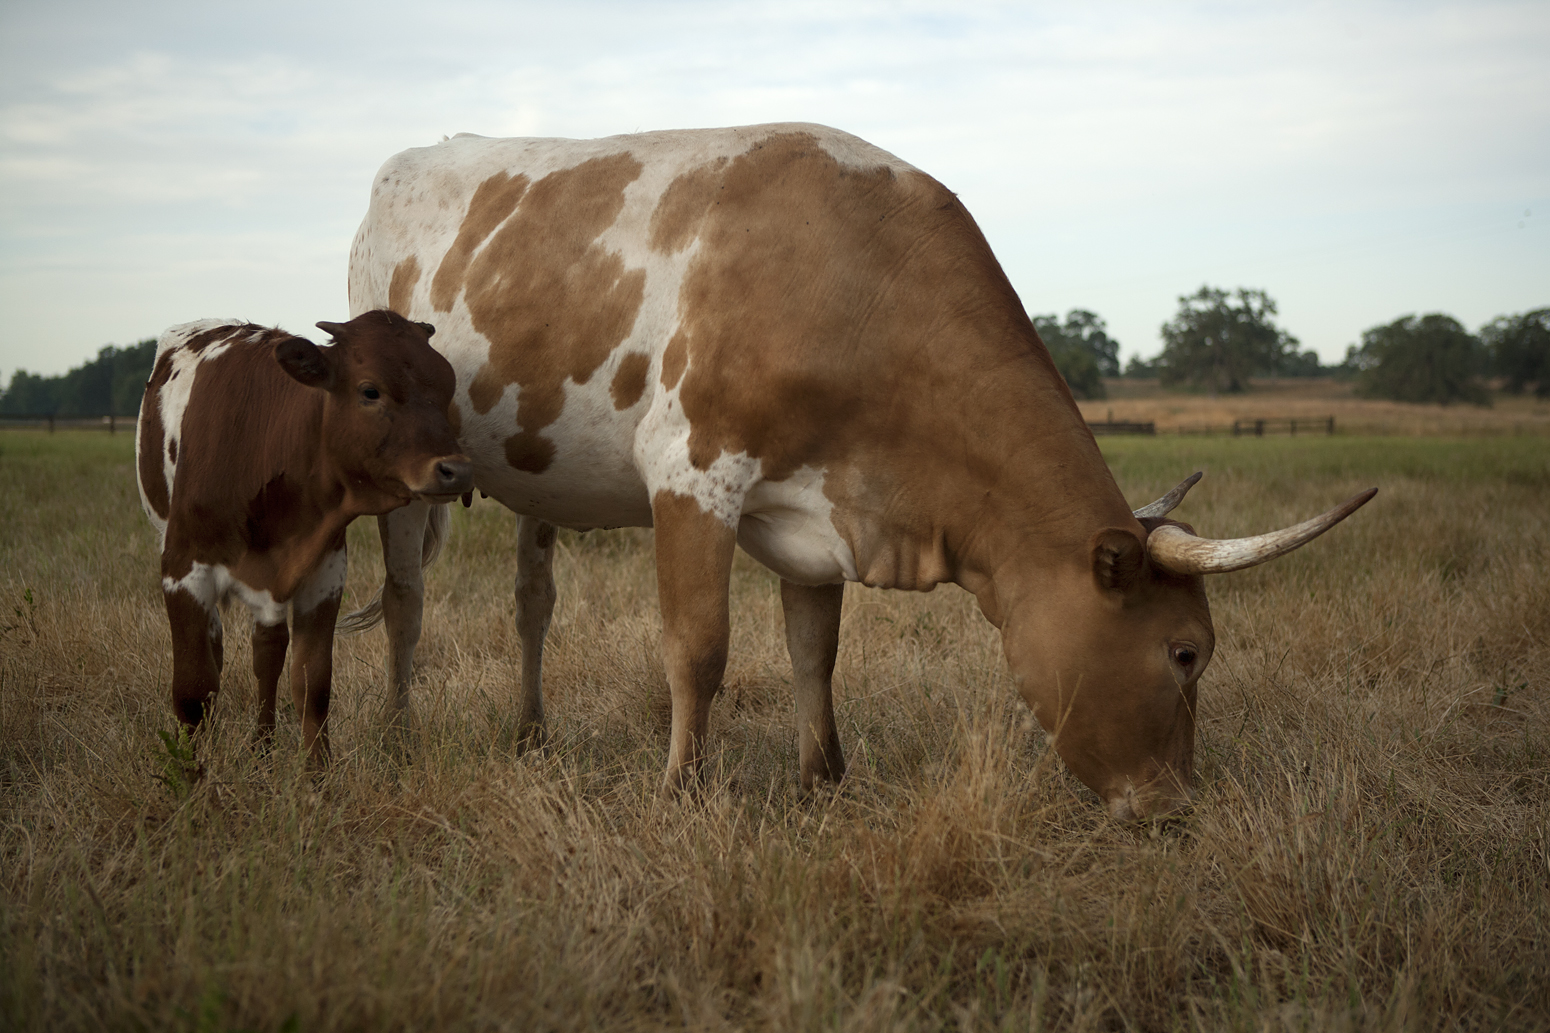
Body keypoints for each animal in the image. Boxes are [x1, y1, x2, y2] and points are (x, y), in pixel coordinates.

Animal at [133, 310, 471, 760]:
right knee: (218, 651)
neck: (263, 444)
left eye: (448, 386)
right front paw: (192, 773)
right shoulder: (182, 572)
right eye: (370, 391)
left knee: (267, 651)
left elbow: (313, 689)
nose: (458, 470)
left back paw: (262, 748)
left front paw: (316, 776)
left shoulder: (324, 574)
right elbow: (193, 692)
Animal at [345, 122, 1376, 812]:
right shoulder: (692, 474)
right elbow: (698, 647)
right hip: (408, 477)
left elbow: (815, 651)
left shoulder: (817, 508)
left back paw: (530, 732)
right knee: (404, 599)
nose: (1175, 807)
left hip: (542, 472)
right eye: (1185, 651)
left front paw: (824, 779)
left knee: (533, 600)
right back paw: (396, 729)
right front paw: (683, 790)